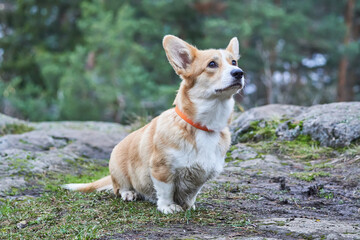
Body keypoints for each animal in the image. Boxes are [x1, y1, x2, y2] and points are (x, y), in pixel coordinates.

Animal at [64, 34, 245, 213]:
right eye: (212, 64)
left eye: (233, 62)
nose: (239, 73)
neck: (203, 126)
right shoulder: (161, 169)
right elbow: (166, 190)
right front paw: (168, 206)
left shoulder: (201, 175)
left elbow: (192, 193)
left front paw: (188, 205)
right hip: (118, 169)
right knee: (119, 188)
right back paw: (129, 193)